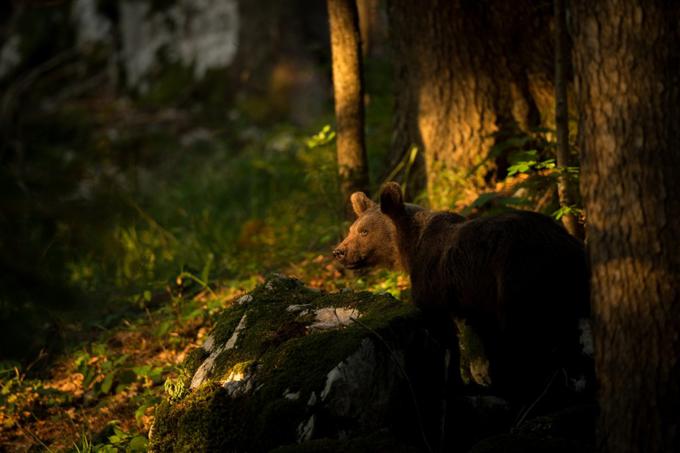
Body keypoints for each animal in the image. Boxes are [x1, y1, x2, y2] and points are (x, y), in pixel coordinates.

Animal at [334, 182, 588, 398]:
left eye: (364, 231)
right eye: (351, 229)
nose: (339, 252)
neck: (409, 248)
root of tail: (565, 241)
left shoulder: (435, 284)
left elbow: (444, 331)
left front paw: (458, 381)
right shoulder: (477, 299)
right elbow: (485, 333)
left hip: (518, 273)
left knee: (523, 330)